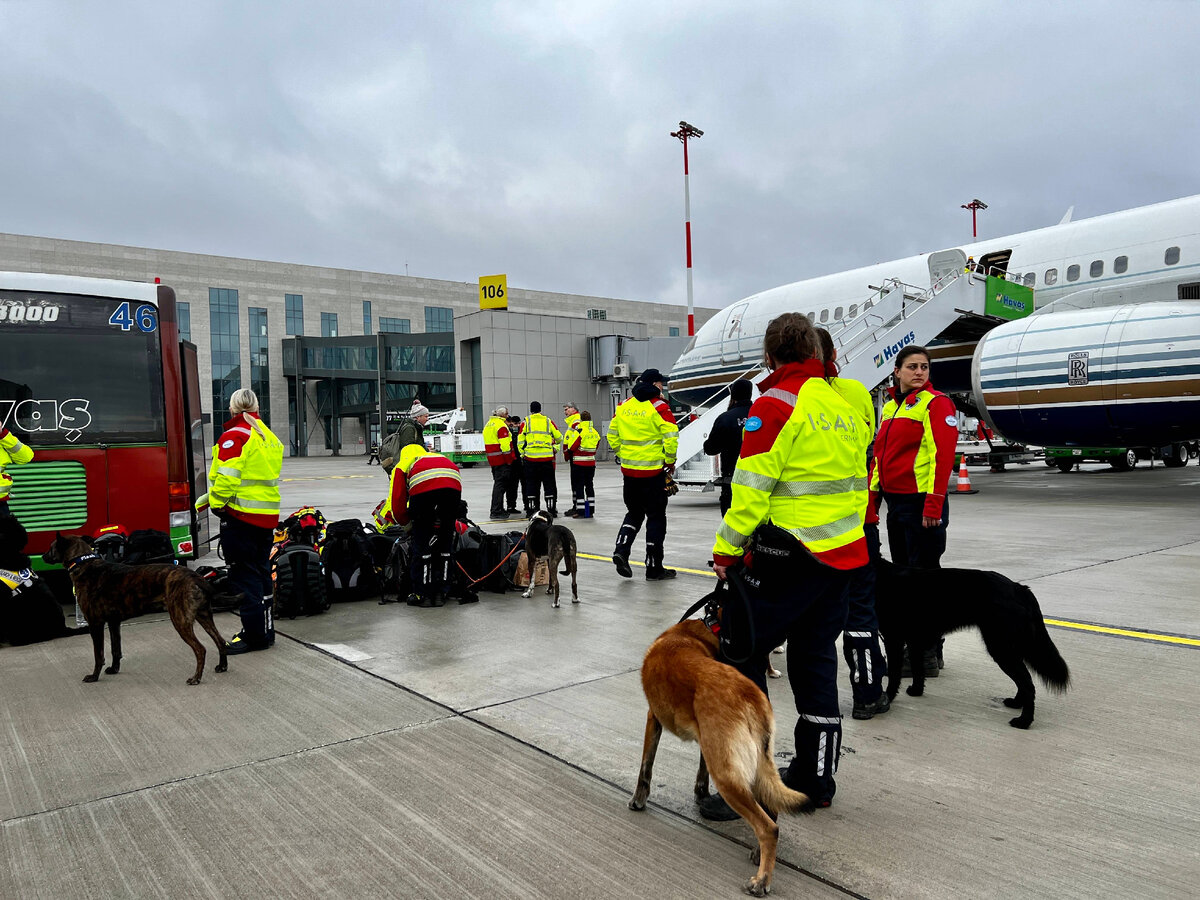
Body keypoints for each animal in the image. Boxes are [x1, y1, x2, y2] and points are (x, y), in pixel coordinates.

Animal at [43, 532, 230, 686]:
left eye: (51, 547)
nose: (43, 556)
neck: (84, 563)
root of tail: (196, 576)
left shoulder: (95, 624)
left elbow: (99, 654)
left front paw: (94, 676)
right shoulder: (113, 623)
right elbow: (115, 649)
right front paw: (114, 669)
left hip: (180, 620)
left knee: (200, 649)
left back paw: (196, 677)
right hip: (204, 616)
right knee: (220, 641)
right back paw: (222, 666)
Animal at [628, 619, 816, 897]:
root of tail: (750, 695)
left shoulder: (654, 719)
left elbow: (645, 767)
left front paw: (638, 800)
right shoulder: (705, 742)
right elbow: (700, 771)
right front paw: (701, 793)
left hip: (727, 777)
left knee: (768, 828)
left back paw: (761, 880)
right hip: (753, 764)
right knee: (772, 808)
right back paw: (759, 855)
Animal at [873, 561, 1070, 729]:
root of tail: (1019, 588)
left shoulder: (893, 639)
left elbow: (894, 674)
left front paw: (888, 697)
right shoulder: (914, 641)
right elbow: (918, 670)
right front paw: (916, 690)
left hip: (1001, 648)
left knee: (1027, 683)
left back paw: (1024, 721)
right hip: (1011, 647)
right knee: (1024, 680)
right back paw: (1016, 703)